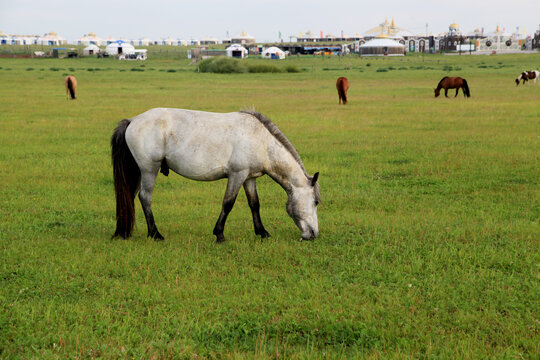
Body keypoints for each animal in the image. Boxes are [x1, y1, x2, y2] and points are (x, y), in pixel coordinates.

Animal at [110, 107, 320, 242]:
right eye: (316, 202)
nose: (313, 234)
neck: (261, 141)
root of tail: (132, 121)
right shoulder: (237, 175)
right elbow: (228, 204)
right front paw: (219, 234)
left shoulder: (249, 178)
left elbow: (254, 204)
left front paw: (262, 232)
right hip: (149, 169)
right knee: (145, 198)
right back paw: (155, 234)